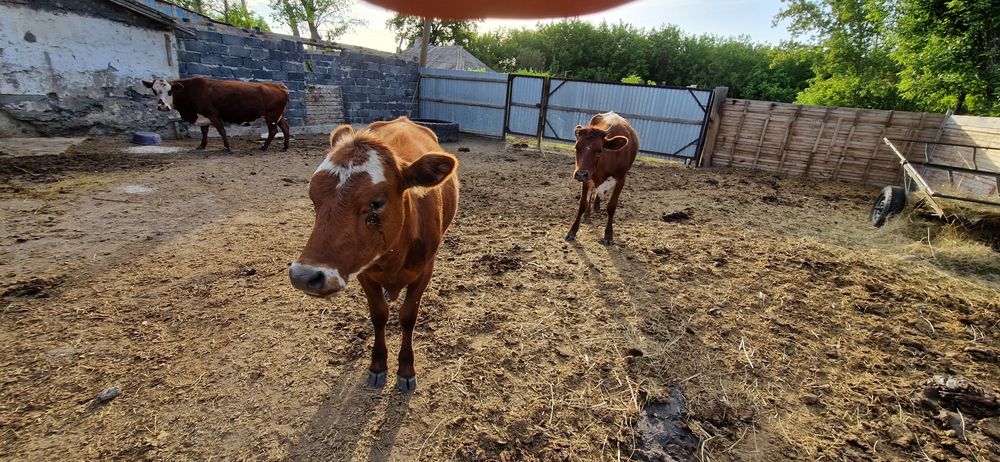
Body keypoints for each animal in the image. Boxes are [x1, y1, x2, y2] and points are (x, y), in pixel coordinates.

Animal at [141, 76, 291, 152]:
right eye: (154, 91)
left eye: (170, 91)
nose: (162, 106)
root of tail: (279, 86)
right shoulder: (202, 116)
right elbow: (204, 132)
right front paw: (202, 146)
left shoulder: (213, 114)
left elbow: (221, 130)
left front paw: (227, 147)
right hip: (279, 116)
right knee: (285, 128)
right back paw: (285, 147)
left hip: (271, 115)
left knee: (273, 131)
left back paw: (264, 147)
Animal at [288, 116, 459, 392]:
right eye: (314, 199)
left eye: (376, 202)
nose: (304, 276)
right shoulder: (364, 273)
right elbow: (379, 314)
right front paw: (378, 364)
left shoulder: (425, 270)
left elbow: (408, 317)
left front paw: (406, 368)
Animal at [565, 112, 639, 245]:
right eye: (577, 148)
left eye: (599, 150)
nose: (580, 174)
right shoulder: (587, 178)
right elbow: (582, 204)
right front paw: (572, 231)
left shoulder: (621, 179)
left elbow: (611, 207)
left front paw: (608, 235)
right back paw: (588, 214)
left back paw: (596, 206)